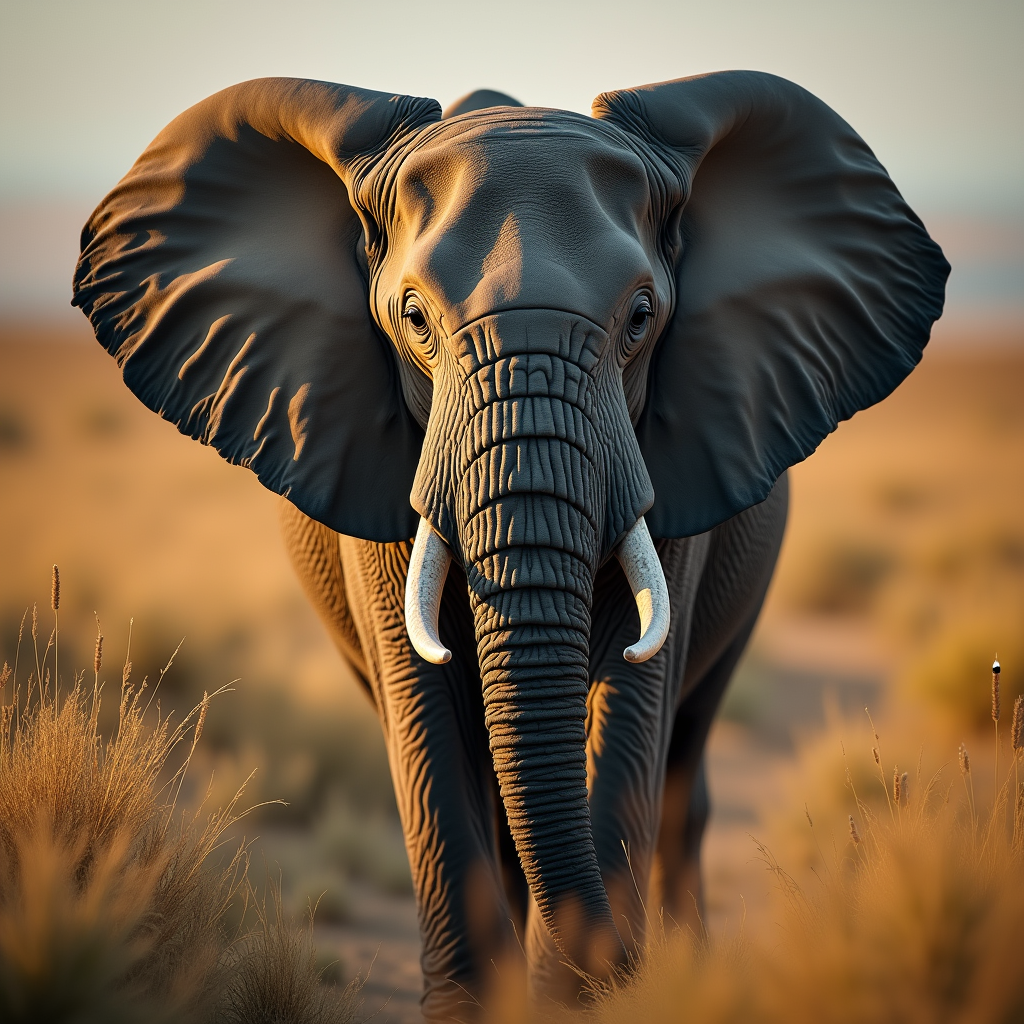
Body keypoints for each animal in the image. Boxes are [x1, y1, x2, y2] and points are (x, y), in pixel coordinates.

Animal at [72, 71, 948, 1020]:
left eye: (641, 317)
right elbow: (424, 713)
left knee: (682, 768)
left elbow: (630, 711)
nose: (606, 965)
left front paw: (584, 998)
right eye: (414, 317)